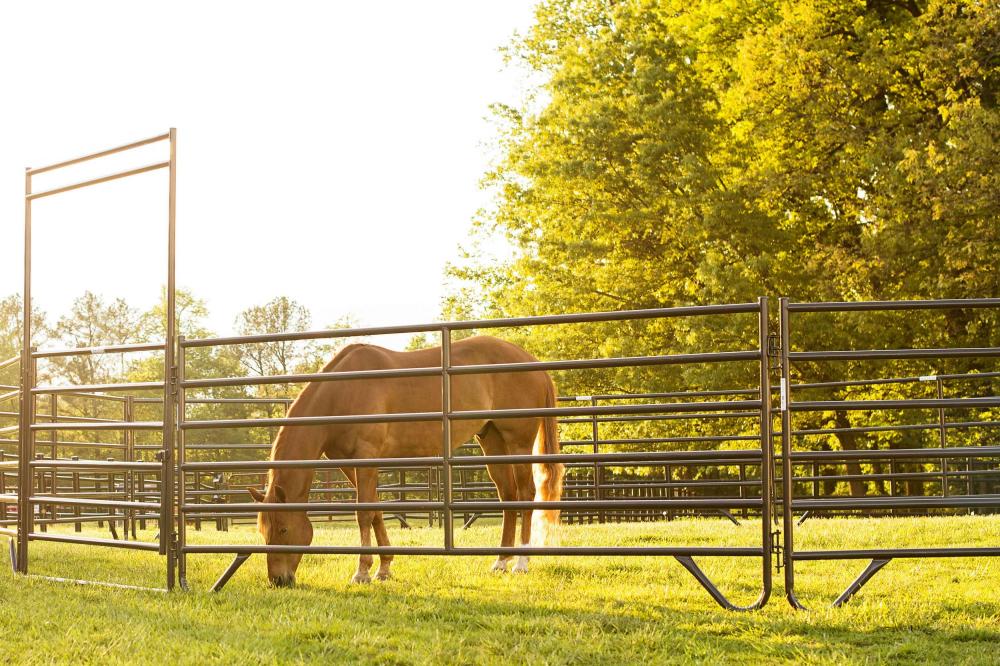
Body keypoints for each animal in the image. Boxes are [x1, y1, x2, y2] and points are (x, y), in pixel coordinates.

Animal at [246, 334, 564, 584]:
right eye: (262, 530)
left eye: (284, 528)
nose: (279, 580)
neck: (342, 392)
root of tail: (531, 362)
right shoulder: (349, 463)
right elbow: (375, 510)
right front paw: (384, 568)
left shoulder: (366, 457)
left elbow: (364, 513)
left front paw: (362, 572)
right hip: (492, 441)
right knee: (508, 496)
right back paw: (501, 561)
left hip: (517, 442)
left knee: (525, 494)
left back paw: (521, 563)